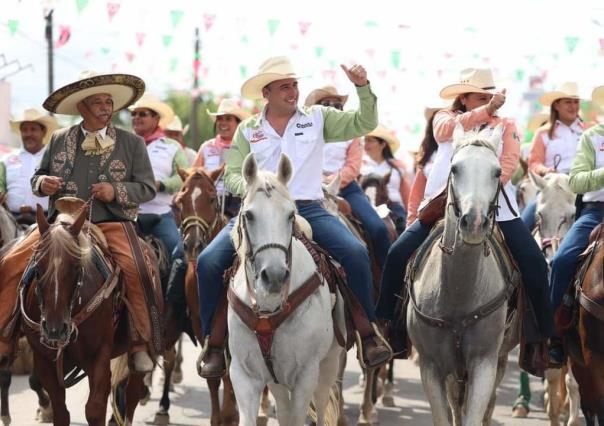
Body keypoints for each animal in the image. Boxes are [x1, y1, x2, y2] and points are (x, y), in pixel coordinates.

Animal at [228, 154, 344, 426]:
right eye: (249, 215)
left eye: (291, 215)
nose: (275, 276)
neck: (268, 310)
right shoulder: (243, 375)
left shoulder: (305, 376)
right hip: (277, 380)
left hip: (328, 364)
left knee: (321, 404)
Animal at [410, 122, 520, 422]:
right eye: (455, 168)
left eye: (497, 172)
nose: (474, 223)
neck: (459, 293)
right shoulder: (430, 366)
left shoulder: (484, 363)